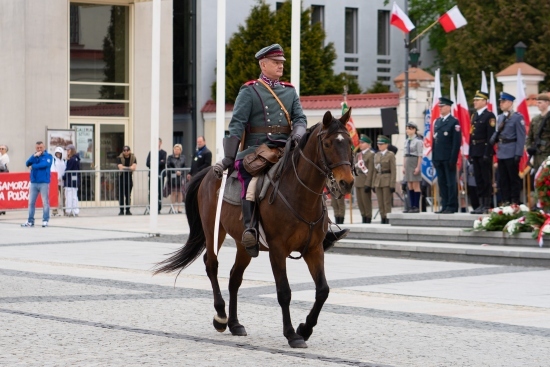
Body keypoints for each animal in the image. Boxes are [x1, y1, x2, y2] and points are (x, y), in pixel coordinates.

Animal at [153, 108, 356, 348]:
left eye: (349, 144)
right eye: (327, 144)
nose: (347, 183)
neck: (300, 195)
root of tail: (208, 172)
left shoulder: (314, 249)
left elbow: (323, 290)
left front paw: (305, 328)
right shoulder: (277, 250)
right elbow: (284, 292)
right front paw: (291, 334)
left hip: (245, 244)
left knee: (234, 277)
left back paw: (234, 324)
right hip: (213, 231)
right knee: (212, 265)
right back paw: (221, 317)